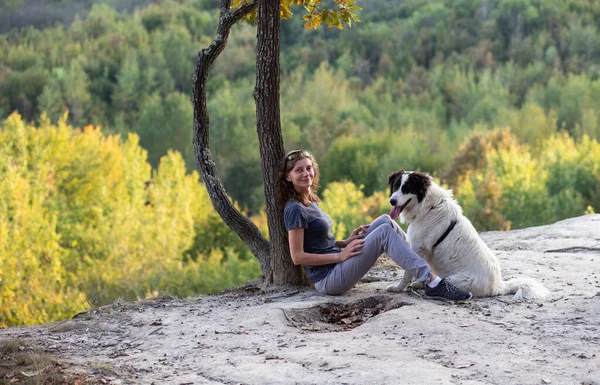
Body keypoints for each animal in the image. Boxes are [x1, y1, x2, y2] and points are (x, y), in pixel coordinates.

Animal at [384, 169, 548, 300]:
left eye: (406, 188)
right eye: (396, 186)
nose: (392, 201)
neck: (428, 207)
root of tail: (499, 286)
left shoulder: (418, 248)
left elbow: (407, 273)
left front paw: (398, 288)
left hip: (453, 279)